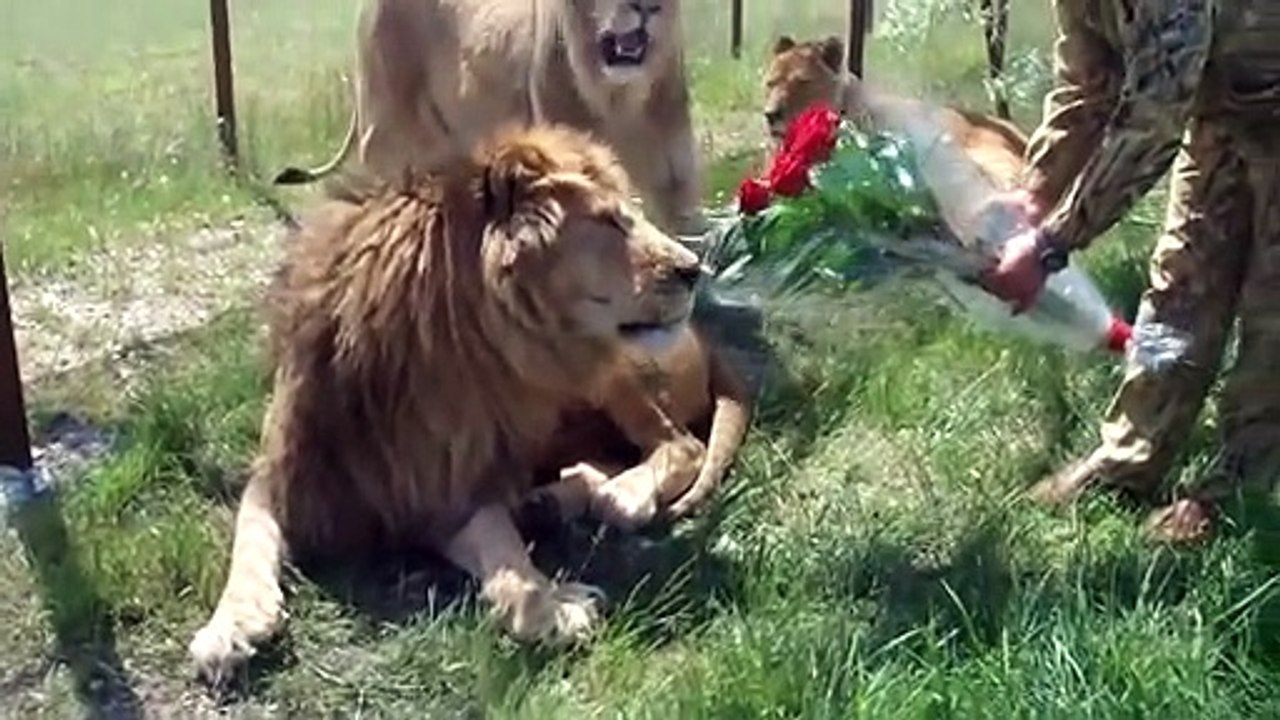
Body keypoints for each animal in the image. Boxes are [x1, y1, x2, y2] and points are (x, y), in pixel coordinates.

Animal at [188, 124, 751, 687]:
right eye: (609, 220)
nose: (694, 269)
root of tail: (706, 336)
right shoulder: (291, 475)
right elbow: (249, 539)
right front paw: (230, 627)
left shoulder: (454, 489)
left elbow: (505, 552)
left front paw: (551, 606)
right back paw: (552, 500)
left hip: (603, 369)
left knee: (680, 443)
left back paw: (620, 496)